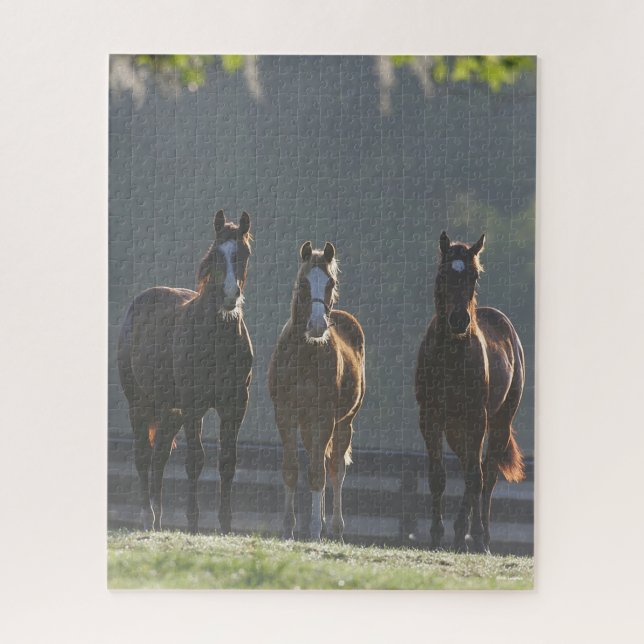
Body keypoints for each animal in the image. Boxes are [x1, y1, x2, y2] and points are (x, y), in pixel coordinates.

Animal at [117, 210, 253, 534]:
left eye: (243, 254)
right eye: (216, 255)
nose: (230, 295)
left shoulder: (235, 405)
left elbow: (227, 462)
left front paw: (225, 524)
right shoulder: (195, 406)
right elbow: (195, 460)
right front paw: (193, 522)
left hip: (170, 413)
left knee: (159, 457)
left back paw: (158, 517)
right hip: (139, 405)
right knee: (144, 456)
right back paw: (146, 516)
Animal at [268, 242, 365, 542]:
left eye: (330, 282)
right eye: (303, 283)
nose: (318, 325)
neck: (304, 355)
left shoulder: (324, 418)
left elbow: (318, 475)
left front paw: (312, 531)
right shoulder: (285, 415)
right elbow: (291, 469)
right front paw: (288, 528)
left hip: (343, 423)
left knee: (334, 469)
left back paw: (334, 528)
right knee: (318, 459)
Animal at [415, 231, 525, 553]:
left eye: (474, 275)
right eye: (443, 274)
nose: (459, 320)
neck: (451, 355)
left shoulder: (477, 419)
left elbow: (475, 478)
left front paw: (461, 532)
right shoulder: (430, 417)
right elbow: (438, 475)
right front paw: (437, 534)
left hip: (498, 424)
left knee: (486, 476)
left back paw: (480, 536)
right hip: (456, 429)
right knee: (471, 467)